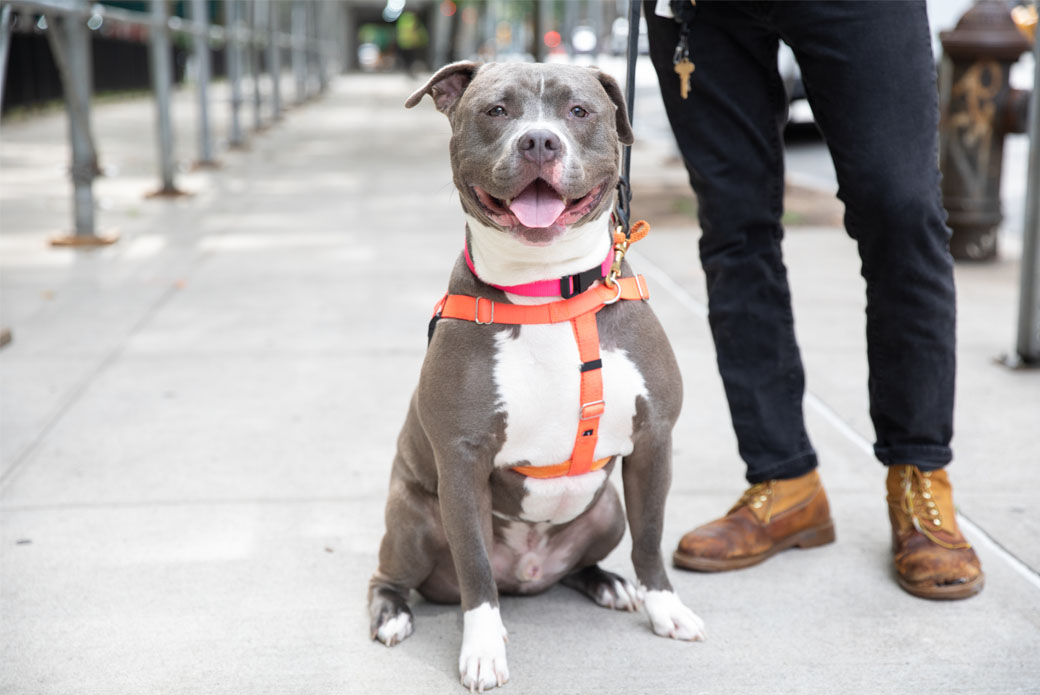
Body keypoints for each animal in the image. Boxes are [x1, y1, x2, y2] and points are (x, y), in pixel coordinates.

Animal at [368, 61, 707, 690]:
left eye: (579, 111)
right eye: (496, 110)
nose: (540, 141)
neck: (546, 292)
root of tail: (527, 573)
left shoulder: (654, 442)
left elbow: (651, 538)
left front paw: (664, 607)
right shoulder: (462, 464)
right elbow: (476, 569)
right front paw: (482, 649)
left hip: (606, 511)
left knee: (587, 558)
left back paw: (608, 582)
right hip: (414, 519)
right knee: (393, 577)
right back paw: (393, 615)